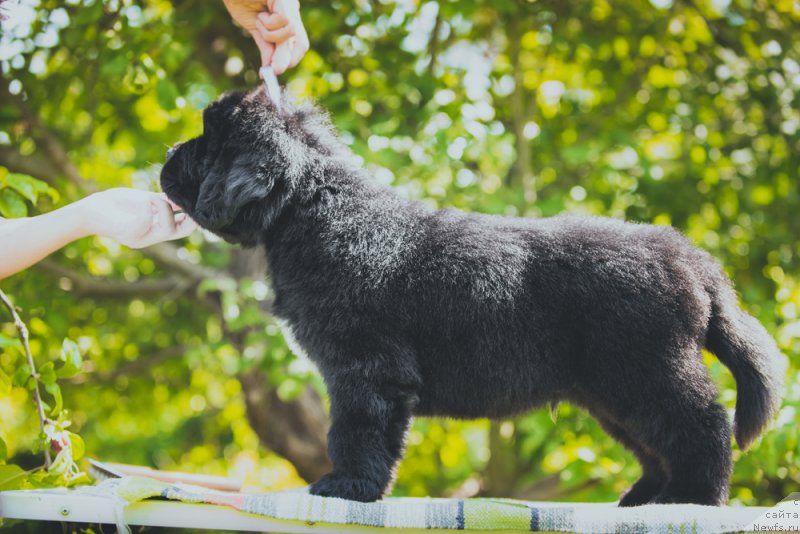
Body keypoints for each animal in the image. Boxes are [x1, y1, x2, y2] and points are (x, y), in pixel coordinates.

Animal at [159, 87, 784, 506]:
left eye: (209, 145)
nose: (166, 155)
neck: (313, 209)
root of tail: (692, 259)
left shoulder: (365, 366)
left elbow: (356, 429)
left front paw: (346, 487)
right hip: (613, 391)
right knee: (656, 443)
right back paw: (643, 498)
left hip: (647, 370)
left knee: (703, 424)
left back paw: (693, 499)